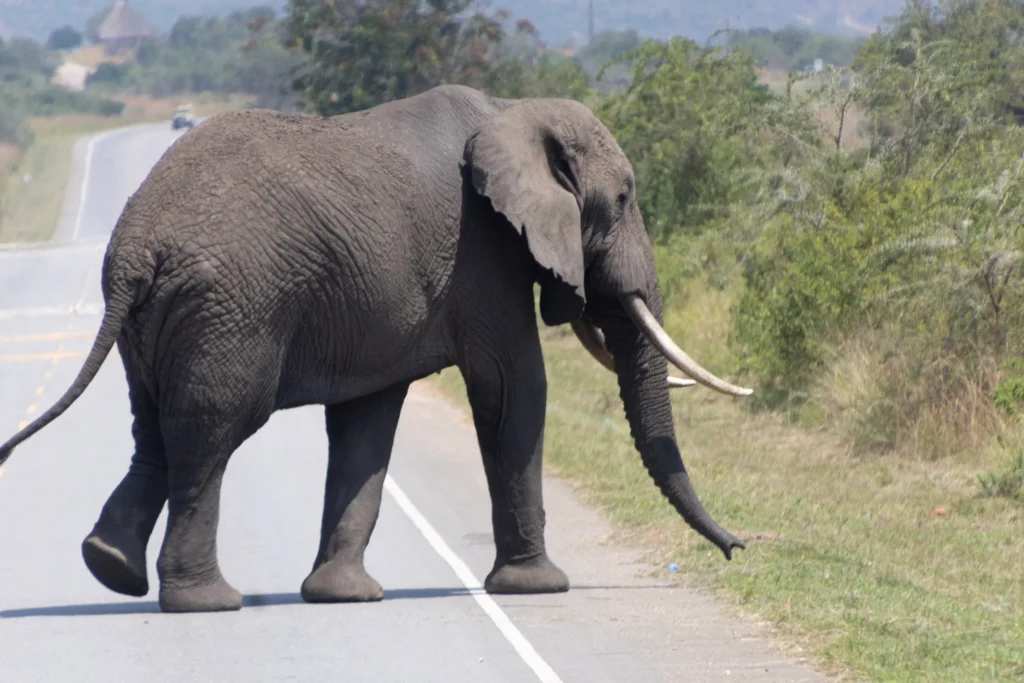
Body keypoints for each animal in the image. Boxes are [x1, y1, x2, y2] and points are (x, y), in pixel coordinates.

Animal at [0, 84, 752, 614]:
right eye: (623, 199)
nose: (740, 548)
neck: (511, 111)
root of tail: (135, 249)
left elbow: (366, 422)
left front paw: (343, 595)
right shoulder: (482, 253)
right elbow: (512, 389)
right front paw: (538, 587)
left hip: (160, 319)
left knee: (154, 429)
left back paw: (109, 565)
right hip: (228, 309)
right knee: (211, 433)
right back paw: (206, 601)